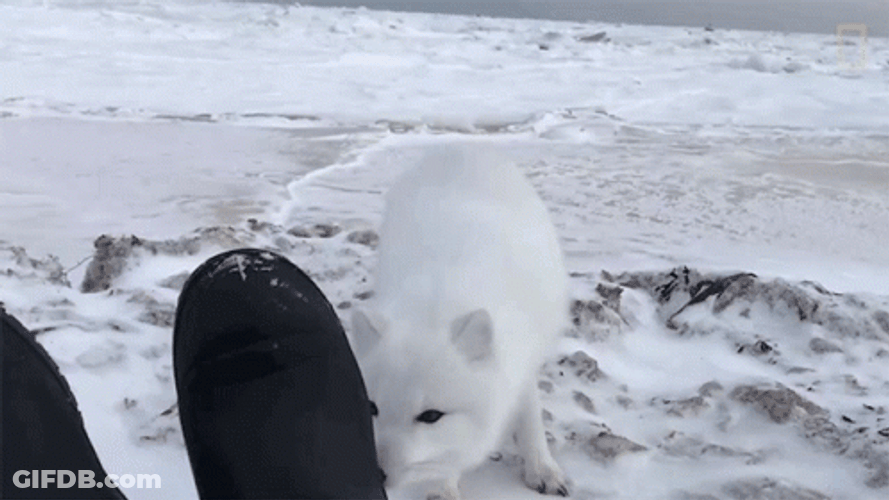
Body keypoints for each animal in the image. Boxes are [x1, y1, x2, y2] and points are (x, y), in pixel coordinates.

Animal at [350, 144, 571, 500]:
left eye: (430, 416)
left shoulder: (523, 362)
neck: (435, 303)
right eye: (371, 407)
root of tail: (459, 145)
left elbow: (530, 419)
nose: (374, 473)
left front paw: (542, 468)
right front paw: (442, 488)